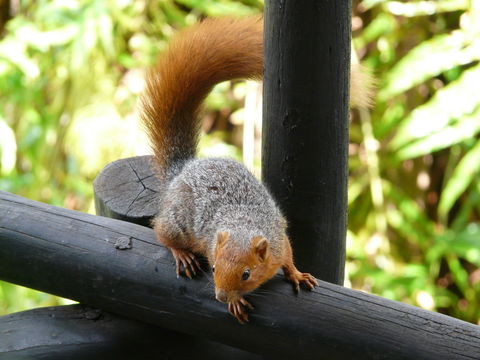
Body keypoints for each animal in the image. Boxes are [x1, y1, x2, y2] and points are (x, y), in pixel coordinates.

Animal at [141, 16, 374, 324]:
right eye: (213, 268)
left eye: (246, 274)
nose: (221, 296)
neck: (243, 225)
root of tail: (183, 169)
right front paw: (235, 302)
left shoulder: (279, 241)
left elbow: (288, 257)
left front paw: (297, 274)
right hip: (178, 222)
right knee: (161, 231)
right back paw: (182, 254)